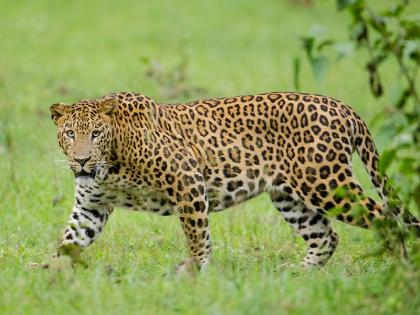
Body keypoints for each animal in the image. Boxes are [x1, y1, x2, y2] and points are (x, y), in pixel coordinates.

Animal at [50, 91, 420, 272]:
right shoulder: (91, 207)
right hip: (290, 196)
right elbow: (69, 240)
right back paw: (298, 272)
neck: (110, 164)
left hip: (326, 183)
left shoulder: (187, 179)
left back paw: (402, 269)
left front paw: (195, 271)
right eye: (70, 134)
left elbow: (197, 235)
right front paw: (47, 274)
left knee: (387, 219)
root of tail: (344, 107)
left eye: (95, 134)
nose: (81, 160)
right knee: (326, 236)